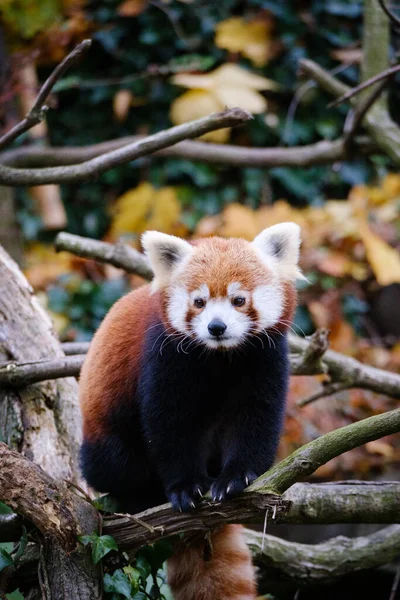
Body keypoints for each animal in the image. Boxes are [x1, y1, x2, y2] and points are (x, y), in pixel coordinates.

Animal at [79, 224, 302, 600]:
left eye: (238, 300)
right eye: (199, 302)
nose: (216, 327)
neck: (220, 358)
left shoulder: (266, 357)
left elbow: (258, 418)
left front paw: (236, 477)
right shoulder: (164, 357)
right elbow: (168, 425)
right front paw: (184, 488)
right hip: (103, 435)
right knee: (113, 461)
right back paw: (142, 496)